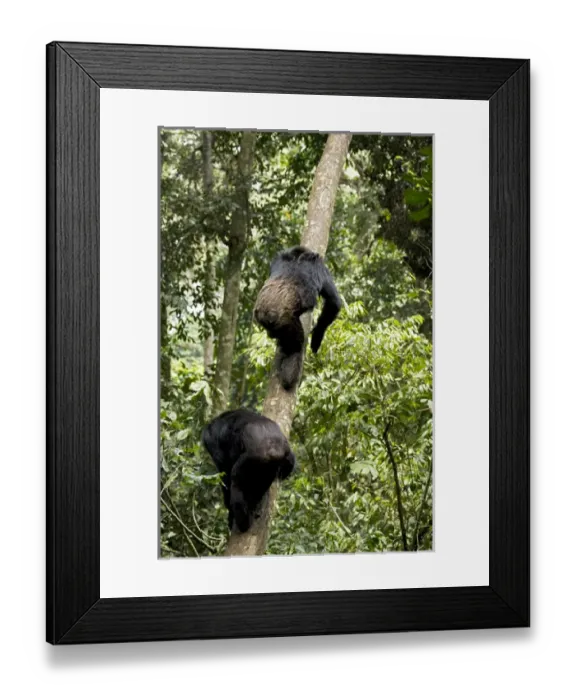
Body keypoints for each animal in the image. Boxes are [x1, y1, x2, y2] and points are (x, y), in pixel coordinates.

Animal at [253, 246, 342, 391]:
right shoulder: (320, 267)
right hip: (286, 322)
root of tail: (265, 312)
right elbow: (333, 302)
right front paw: (317, 337)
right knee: (296, 346)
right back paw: (289, 375)